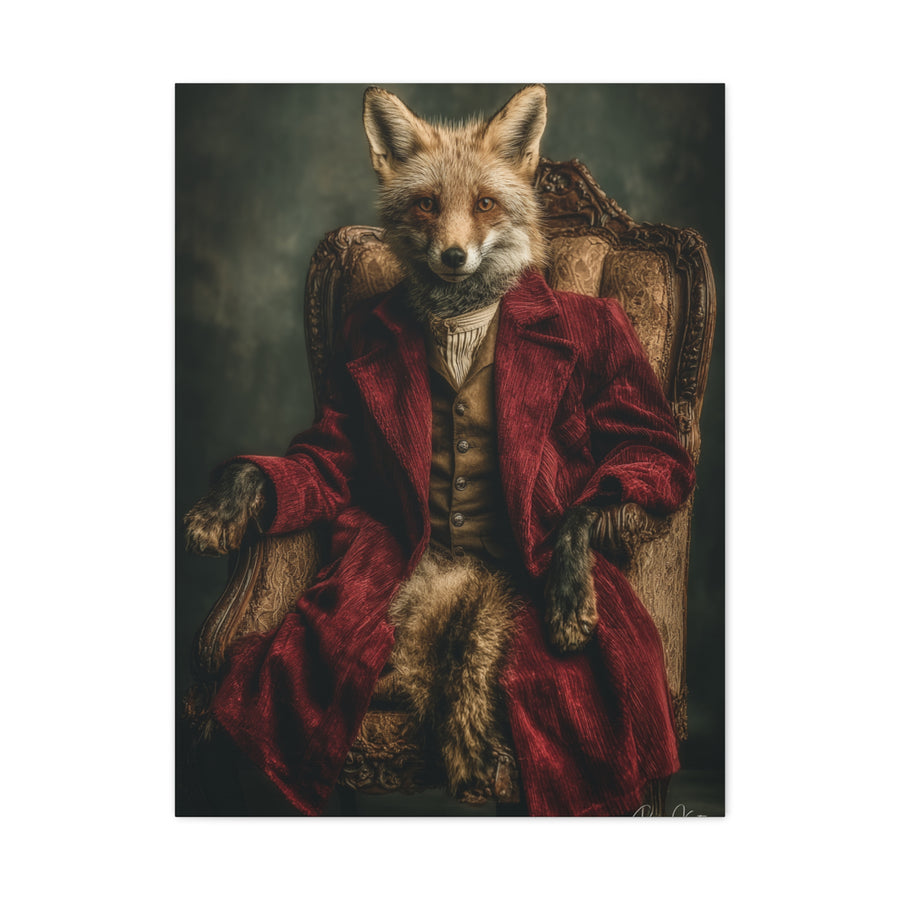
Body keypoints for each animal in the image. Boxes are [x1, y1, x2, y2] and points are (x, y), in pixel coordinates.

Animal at [185, 85, 609, 799]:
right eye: (426, 204)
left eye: (485, 204)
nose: (454, 257)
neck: (462, 318)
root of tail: (454, 575)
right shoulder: (335, 434)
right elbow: (275, 468)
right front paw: (221, 511)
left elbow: (593, 498)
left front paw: (571, 593)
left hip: (489, 604)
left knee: (463, 668)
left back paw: (478, 750)